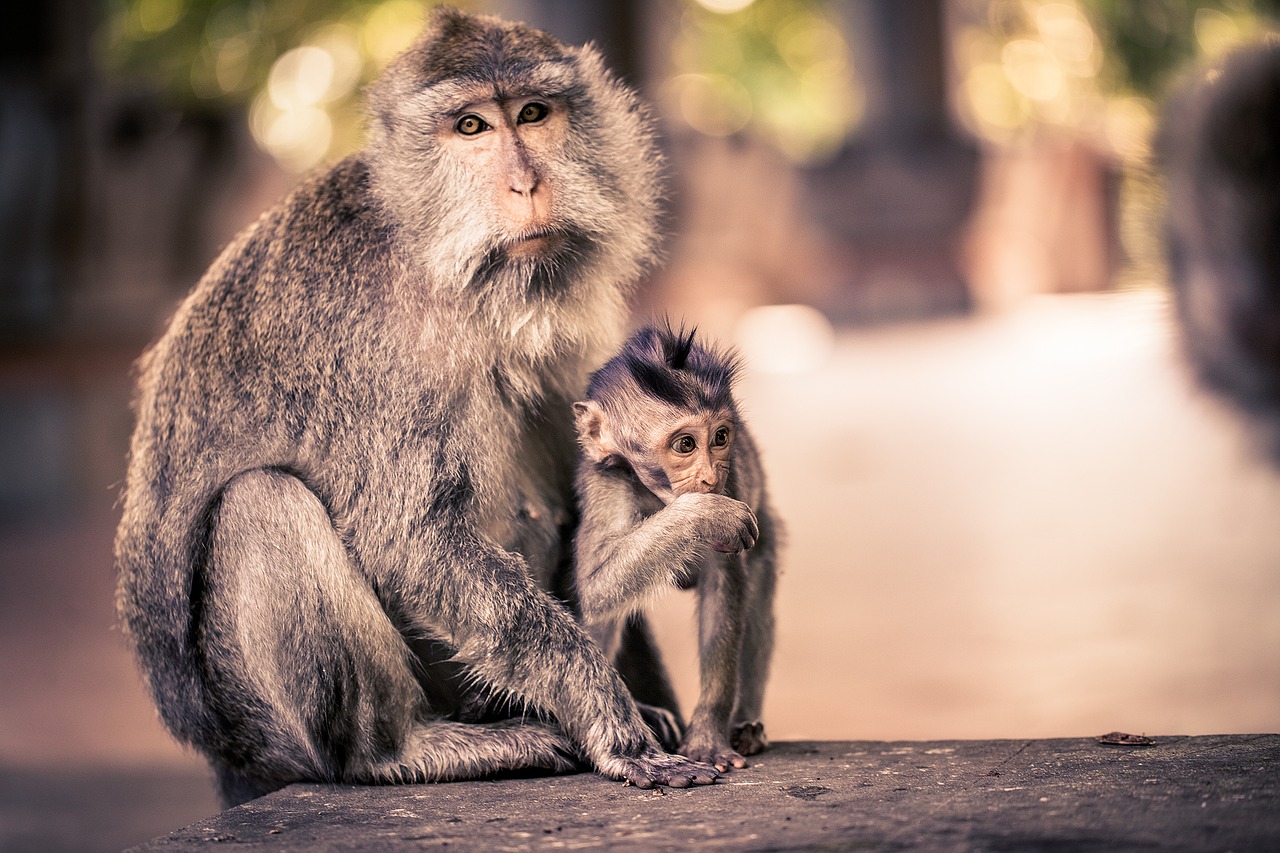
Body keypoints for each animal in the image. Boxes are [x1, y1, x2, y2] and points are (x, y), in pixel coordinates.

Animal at [573, 322, 773, 768]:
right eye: (685, 445)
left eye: (720, 437)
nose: (709, 477)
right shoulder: (607, 480)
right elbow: (596, 587)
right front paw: (702, 514)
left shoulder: (733, 480)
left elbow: (725, 585)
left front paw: (708, 735)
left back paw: (746, 726)